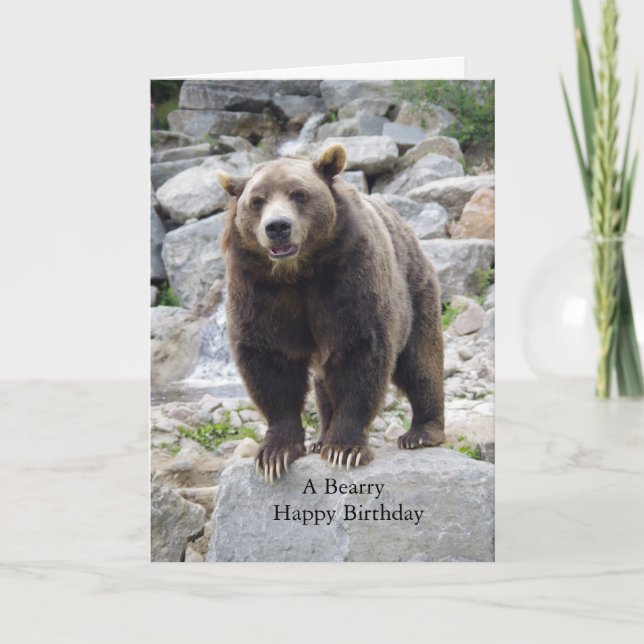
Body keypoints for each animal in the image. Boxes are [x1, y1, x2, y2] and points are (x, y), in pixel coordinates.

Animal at [217, 143, 444, 483]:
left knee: (421, 361)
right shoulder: (258, 288)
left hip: (416, 291)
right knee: (324, 382)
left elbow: (359, 352)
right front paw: (275, 453)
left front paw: (344, 448)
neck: (298, 273)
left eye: (299, 194)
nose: (277, 227)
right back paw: (320, 437)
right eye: (257, 201)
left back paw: (422, 432)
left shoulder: (348, 276)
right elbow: (269, 359)